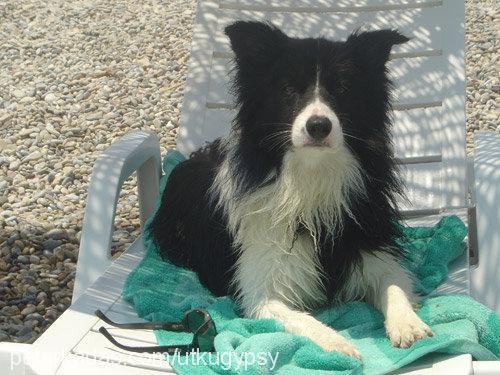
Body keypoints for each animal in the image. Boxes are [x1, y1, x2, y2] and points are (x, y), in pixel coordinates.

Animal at [150, 20, 432, 358]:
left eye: (342, 89)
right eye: (287, 89)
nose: (319, 126)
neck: (309, 176)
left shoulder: (372, 251)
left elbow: (392, 283)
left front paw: (408, 324)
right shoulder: (263, 290)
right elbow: (298, 317)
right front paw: (336, 344)